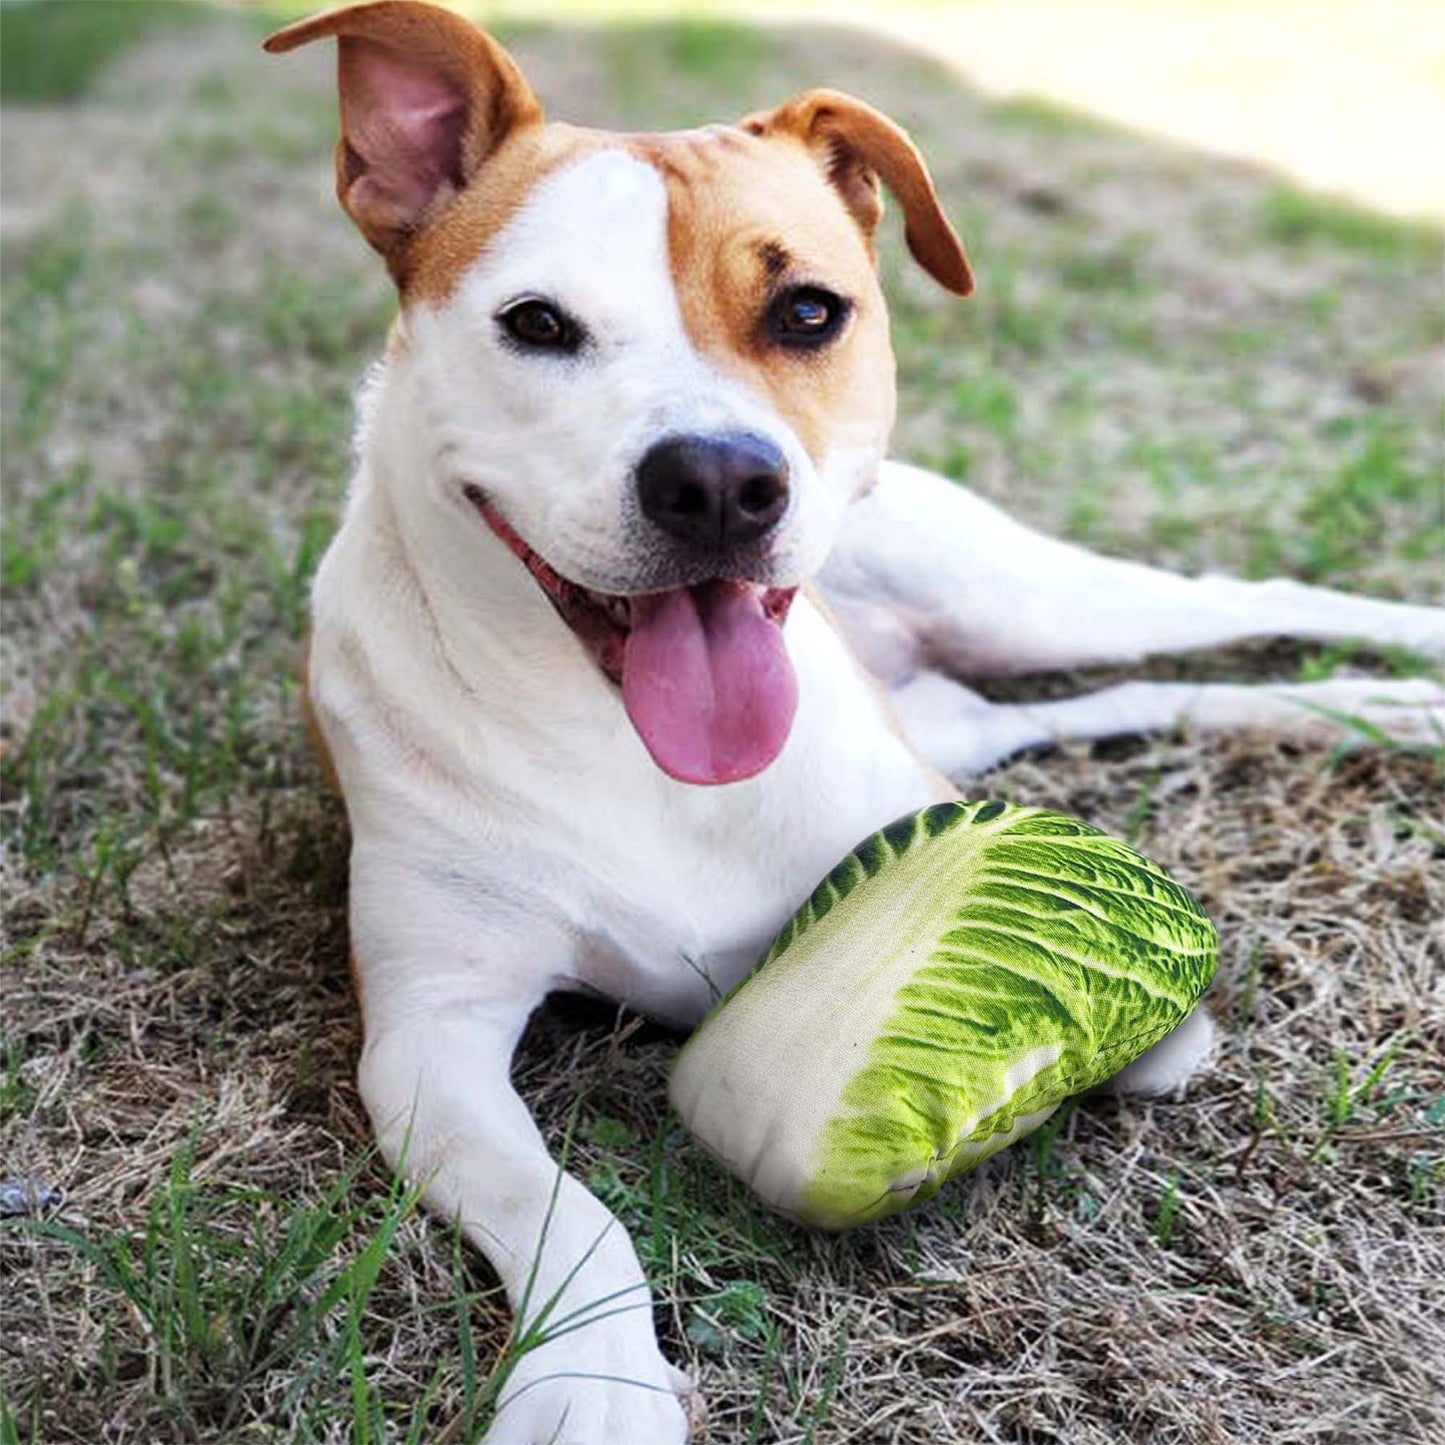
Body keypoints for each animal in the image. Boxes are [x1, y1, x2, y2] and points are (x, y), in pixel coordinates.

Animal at [262, 5, 1445, 1439]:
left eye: (807, 310)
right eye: (536, 323)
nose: (718, 481)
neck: (624, 736)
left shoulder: (920, 830)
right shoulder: (429, 1041)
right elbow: (562, 1210)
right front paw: (591, 1384)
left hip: (1022, 602)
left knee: (1233, 604)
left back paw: (1410, 668)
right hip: (983, 705)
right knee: (1149, 693)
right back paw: (1379, 713)